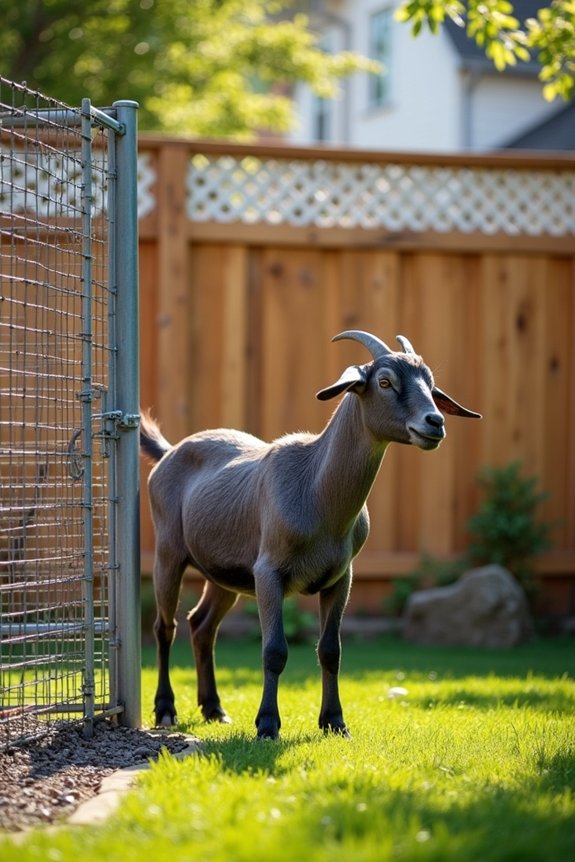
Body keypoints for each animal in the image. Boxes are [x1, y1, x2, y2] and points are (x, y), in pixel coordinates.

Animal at [140, 330, 481, 739]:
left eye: (430, 384)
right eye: (385, 382)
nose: (435, 423)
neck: (316, 489)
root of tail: (168, 452)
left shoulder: (339, 578)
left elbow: (330, 650)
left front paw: (334, 722)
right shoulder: (268, 573)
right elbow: (274, 650)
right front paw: (267, 725)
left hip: (225, 575)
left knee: (201, 626)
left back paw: (214, 709)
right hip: (168, 553)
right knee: (164, 626)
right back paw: (165, 710)